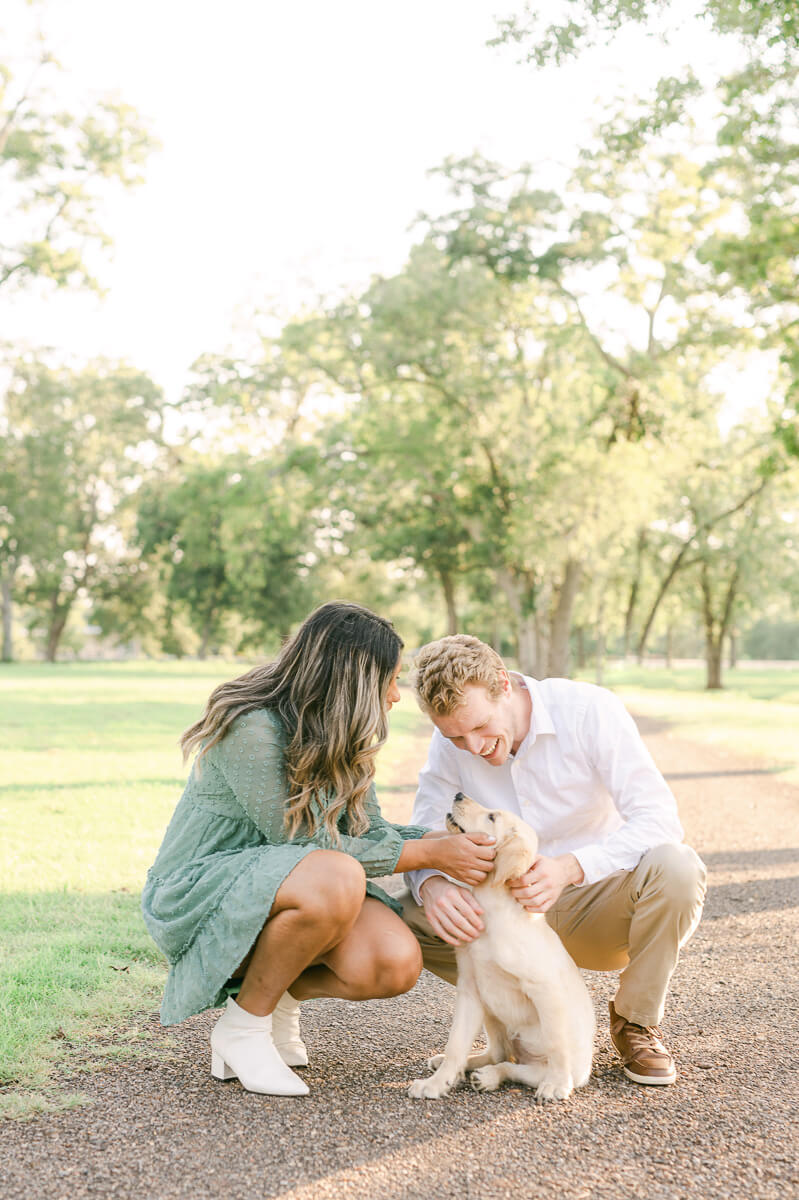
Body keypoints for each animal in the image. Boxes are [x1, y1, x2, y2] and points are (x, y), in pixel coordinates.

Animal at [410, 792, 590, 1099]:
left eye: (492, 817)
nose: (458, 794)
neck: (491, 909)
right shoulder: (470, 988)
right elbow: (456, 1043)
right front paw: (436, 1083)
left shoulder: (546, 990)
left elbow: (557, 1044)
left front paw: (557, 1083)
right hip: (491, 1014)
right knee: (499, 1053)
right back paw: (466, 1066)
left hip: (540, 1060)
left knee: (514, 1067)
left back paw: (492, 1077)